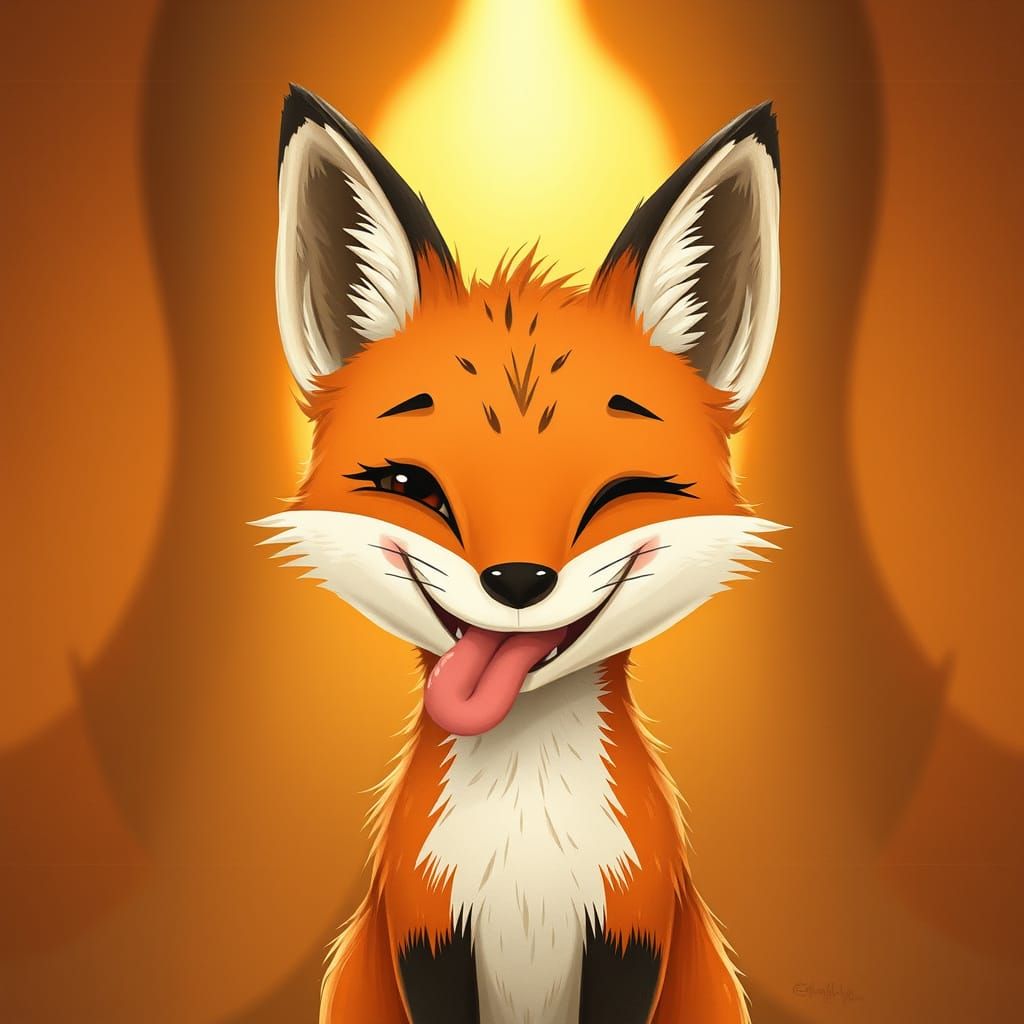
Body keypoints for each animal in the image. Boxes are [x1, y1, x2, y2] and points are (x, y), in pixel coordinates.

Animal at [257, 84, 783, 1024]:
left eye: (617, 493)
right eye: (411, 485)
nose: (517, 582)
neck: (526, 827)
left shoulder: (631, 933)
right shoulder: (426, 934)